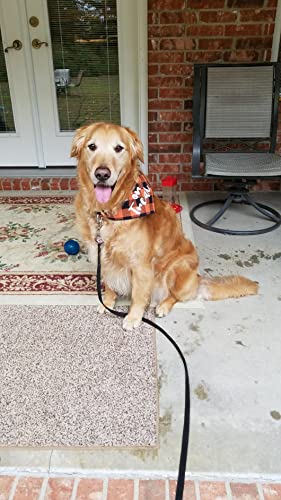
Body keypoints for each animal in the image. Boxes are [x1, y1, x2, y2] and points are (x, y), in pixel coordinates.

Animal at [71, 122, 258, 330]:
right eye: (92, 146)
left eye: (119, 148)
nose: (102, 174)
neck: (108, 212)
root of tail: (198, 280)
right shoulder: (101, 256)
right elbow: (109, 285)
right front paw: (108, 303)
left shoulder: (141, 265)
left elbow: (138, 295)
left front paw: (133, 317)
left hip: (176, 268)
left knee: (175, 296)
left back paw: (162, 306)